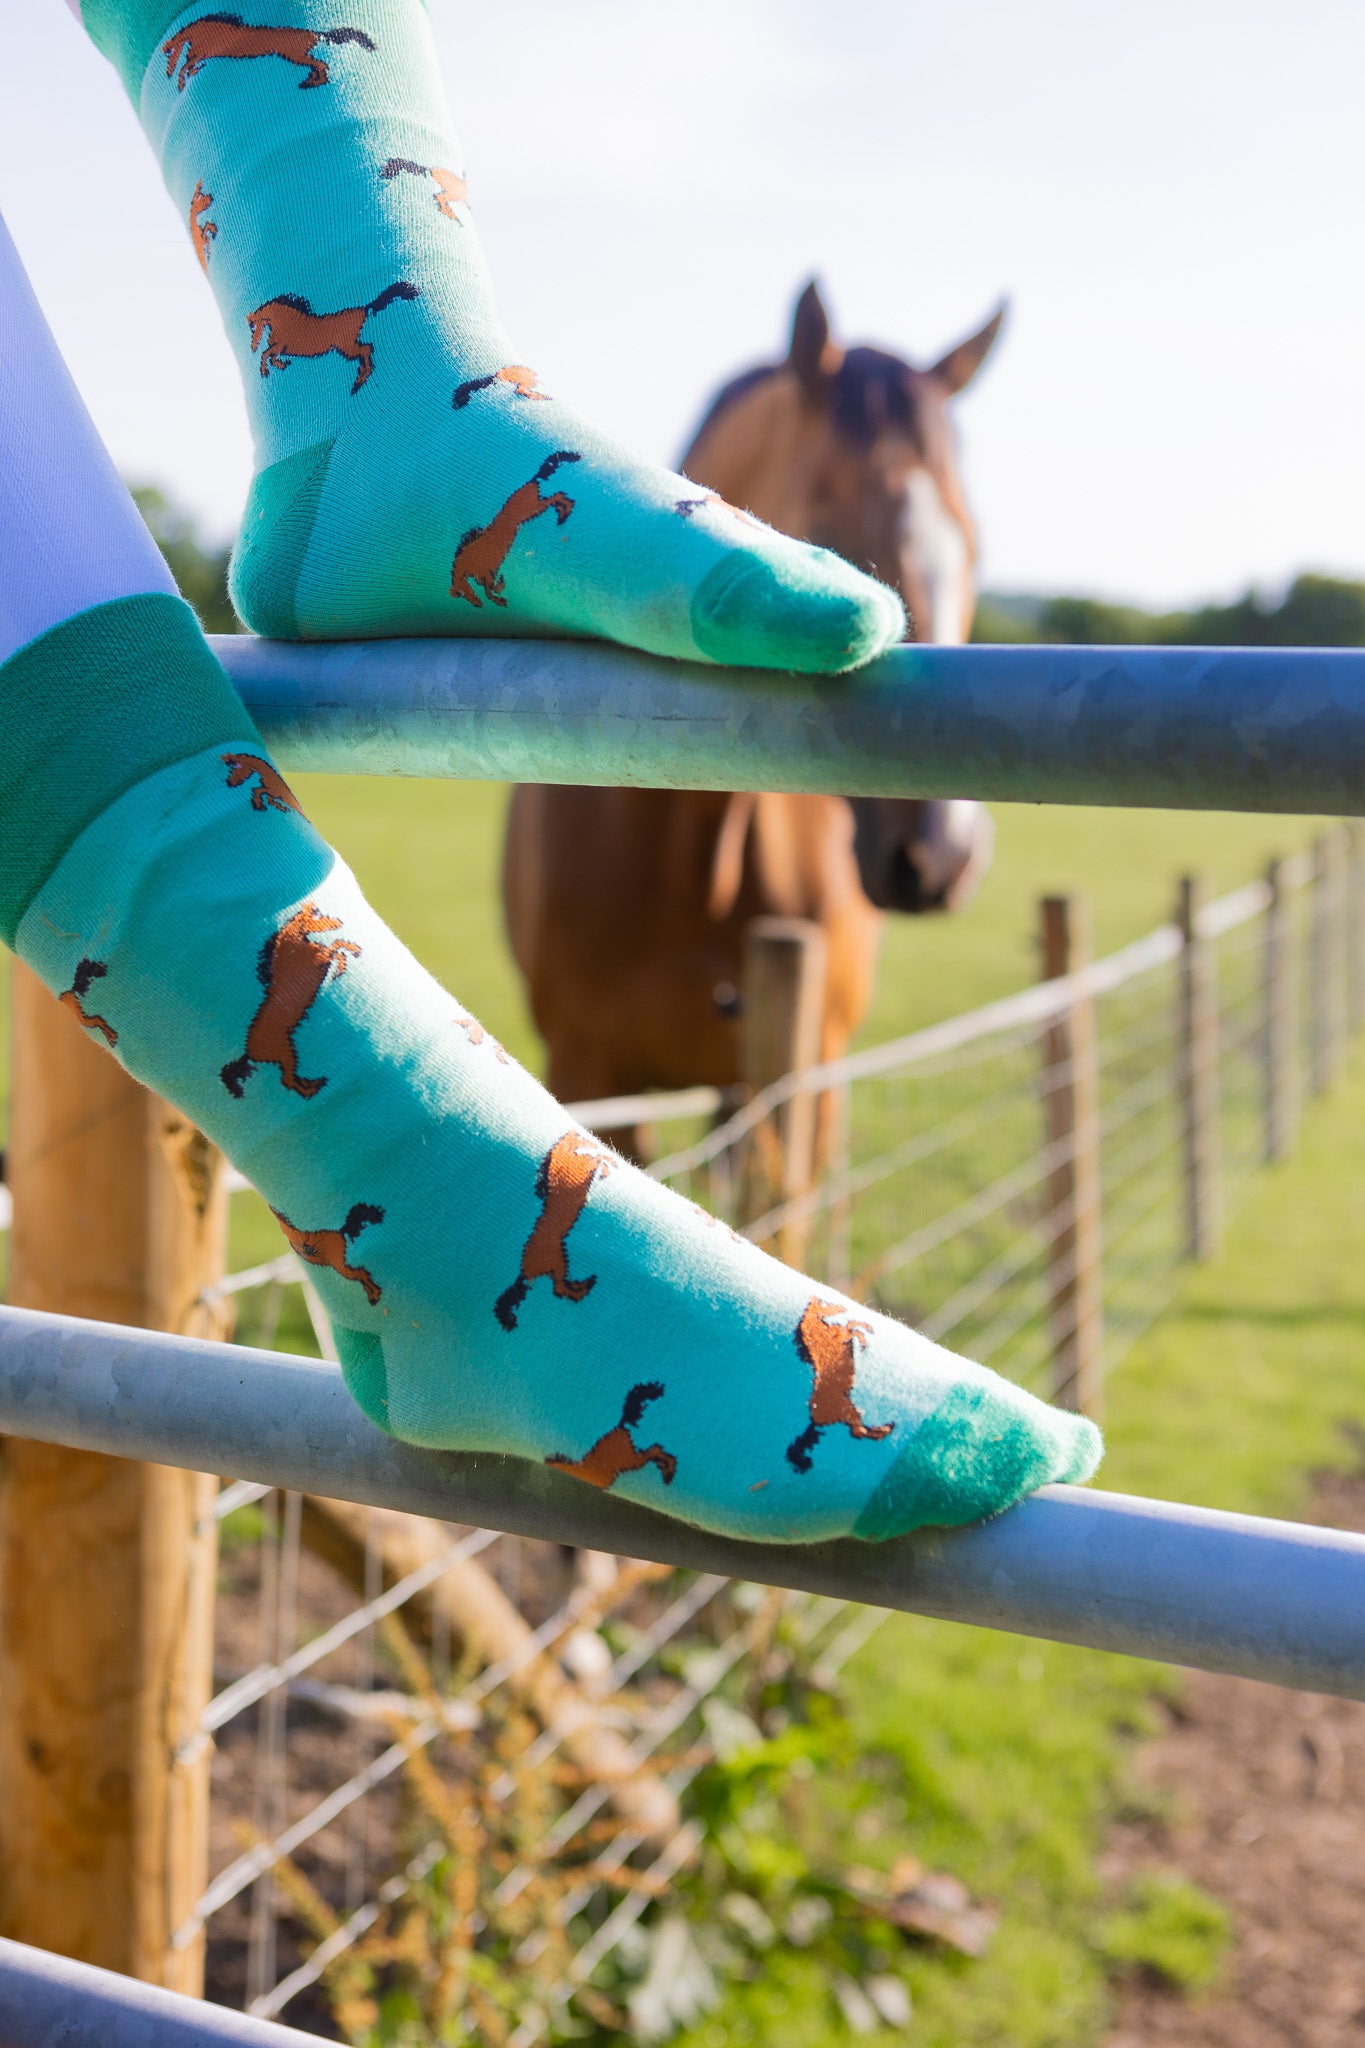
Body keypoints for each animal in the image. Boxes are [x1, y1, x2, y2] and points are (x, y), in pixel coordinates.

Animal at [162, 17, 375, 92]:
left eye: (169, 51)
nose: (165, 50)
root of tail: (314, 33)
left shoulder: (205, 51)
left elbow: (185, 66)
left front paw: (181, 81)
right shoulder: (201, 53)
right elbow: (188, 65)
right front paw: (185, 77)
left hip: (294, 54)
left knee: (322, 64)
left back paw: (313, 81)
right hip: (294, 55)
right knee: (319, 64)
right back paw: (311, 80)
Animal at [247, 281, 419, 394]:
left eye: (253, 328)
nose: (252, 347)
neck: (284, 321)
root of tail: (364, 308)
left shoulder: (281, 346)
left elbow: (266, 354)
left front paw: (266, 370)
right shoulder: (281, 349)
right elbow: (271, 356)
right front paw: (282, 364)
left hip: (345, 347)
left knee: (367, 349)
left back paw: (360, 379)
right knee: (366, 349)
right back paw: (360, 377)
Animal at [450, 451, 579, 609]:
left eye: (462, 593)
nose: (477, 604)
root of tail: (531, 482)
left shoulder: (485, 573)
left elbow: (488, 591)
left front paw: (499, 598)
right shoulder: (486, 574)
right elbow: (489, 588)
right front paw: (500, 591)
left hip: (532, 509)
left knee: (557, 496)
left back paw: (565, 512)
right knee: (557, 498)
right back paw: (563, 512)